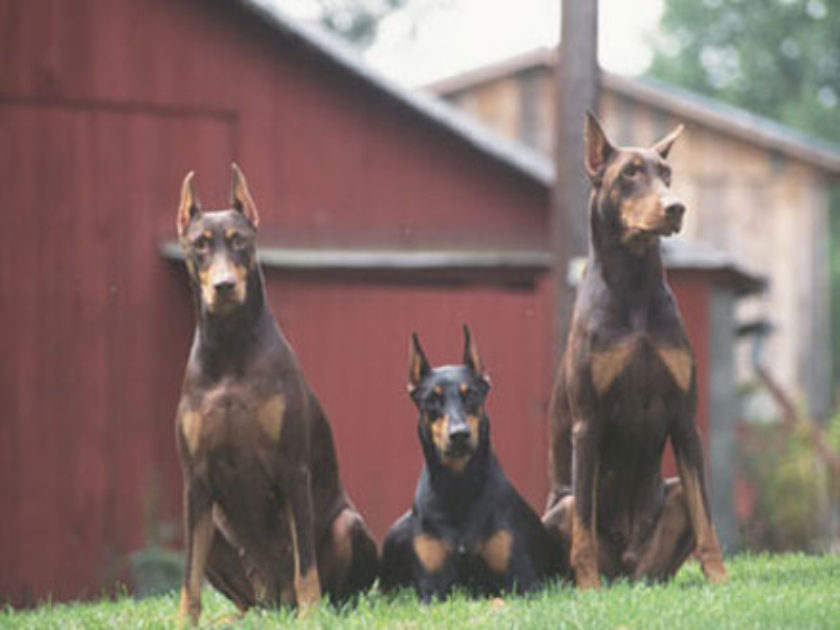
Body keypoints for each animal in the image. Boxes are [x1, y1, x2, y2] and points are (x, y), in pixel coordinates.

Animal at [174, 167, 378, 628]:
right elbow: (189, 576)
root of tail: (274, 598)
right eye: (200, 245)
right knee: (244, 598)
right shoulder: (195, 481)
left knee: (333, 584)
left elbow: (306, 564)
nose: (225, 286)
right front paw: (183, 621)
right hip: (218, 532)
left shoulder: (292, 467)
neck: (230, 351)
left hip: (346, 526)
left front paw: (311, 614)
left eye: (239, 241)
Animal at [380, 328, 564, 600]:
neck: (459, 487)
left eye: (472, 395)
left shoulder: (523, 581)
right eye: (432, 400)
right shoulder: (433, 588)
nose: (459, 434)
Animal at [544, 115, 728, 592]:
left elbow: (707, 515)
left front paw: (721, 579)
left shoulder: (685, 418)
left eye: (667, 174)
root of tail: (627, 569)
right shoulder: (587, 423)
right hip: (561, 507)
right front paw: (588, 588)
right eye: (628, 173)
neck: (635, 288)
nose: (676, 207)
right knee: (576, 516)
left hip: (665, 517)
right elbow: (584, 526)